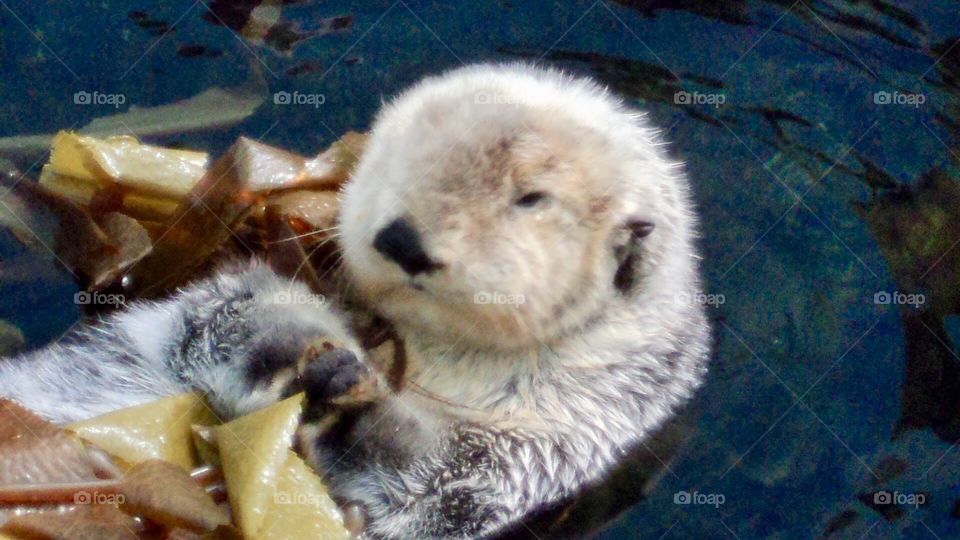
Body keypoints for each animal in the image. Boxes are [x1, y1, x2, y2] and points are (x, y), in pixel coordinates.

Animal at [0, 64, 710, 539]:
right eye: (394, 159)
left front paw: (358, 413)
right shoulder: (225, 294)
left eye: (531, 197)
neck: (435, 354)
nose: (402, 237)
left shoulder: (570, 434)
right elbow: (225, 311)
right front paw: (313, 354)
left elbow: (455, 489)